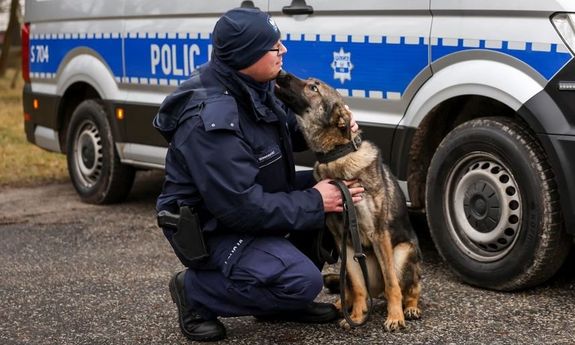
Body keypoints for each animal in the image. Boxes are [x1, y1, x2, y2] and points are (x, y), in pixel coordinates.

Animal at [274, 70, 424, 330]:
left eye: (314, 88)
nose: (281, 72)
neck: (336, 156)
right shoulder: (343, 240)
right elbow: (356, 283)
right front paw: (355, 316)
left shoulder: (378, 234)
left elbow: (392, 284)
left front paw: (395, 316)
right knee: (353, 287)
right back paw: (340, 307)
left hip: (402, 254)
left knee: (410, 287)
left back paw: (410, 308)